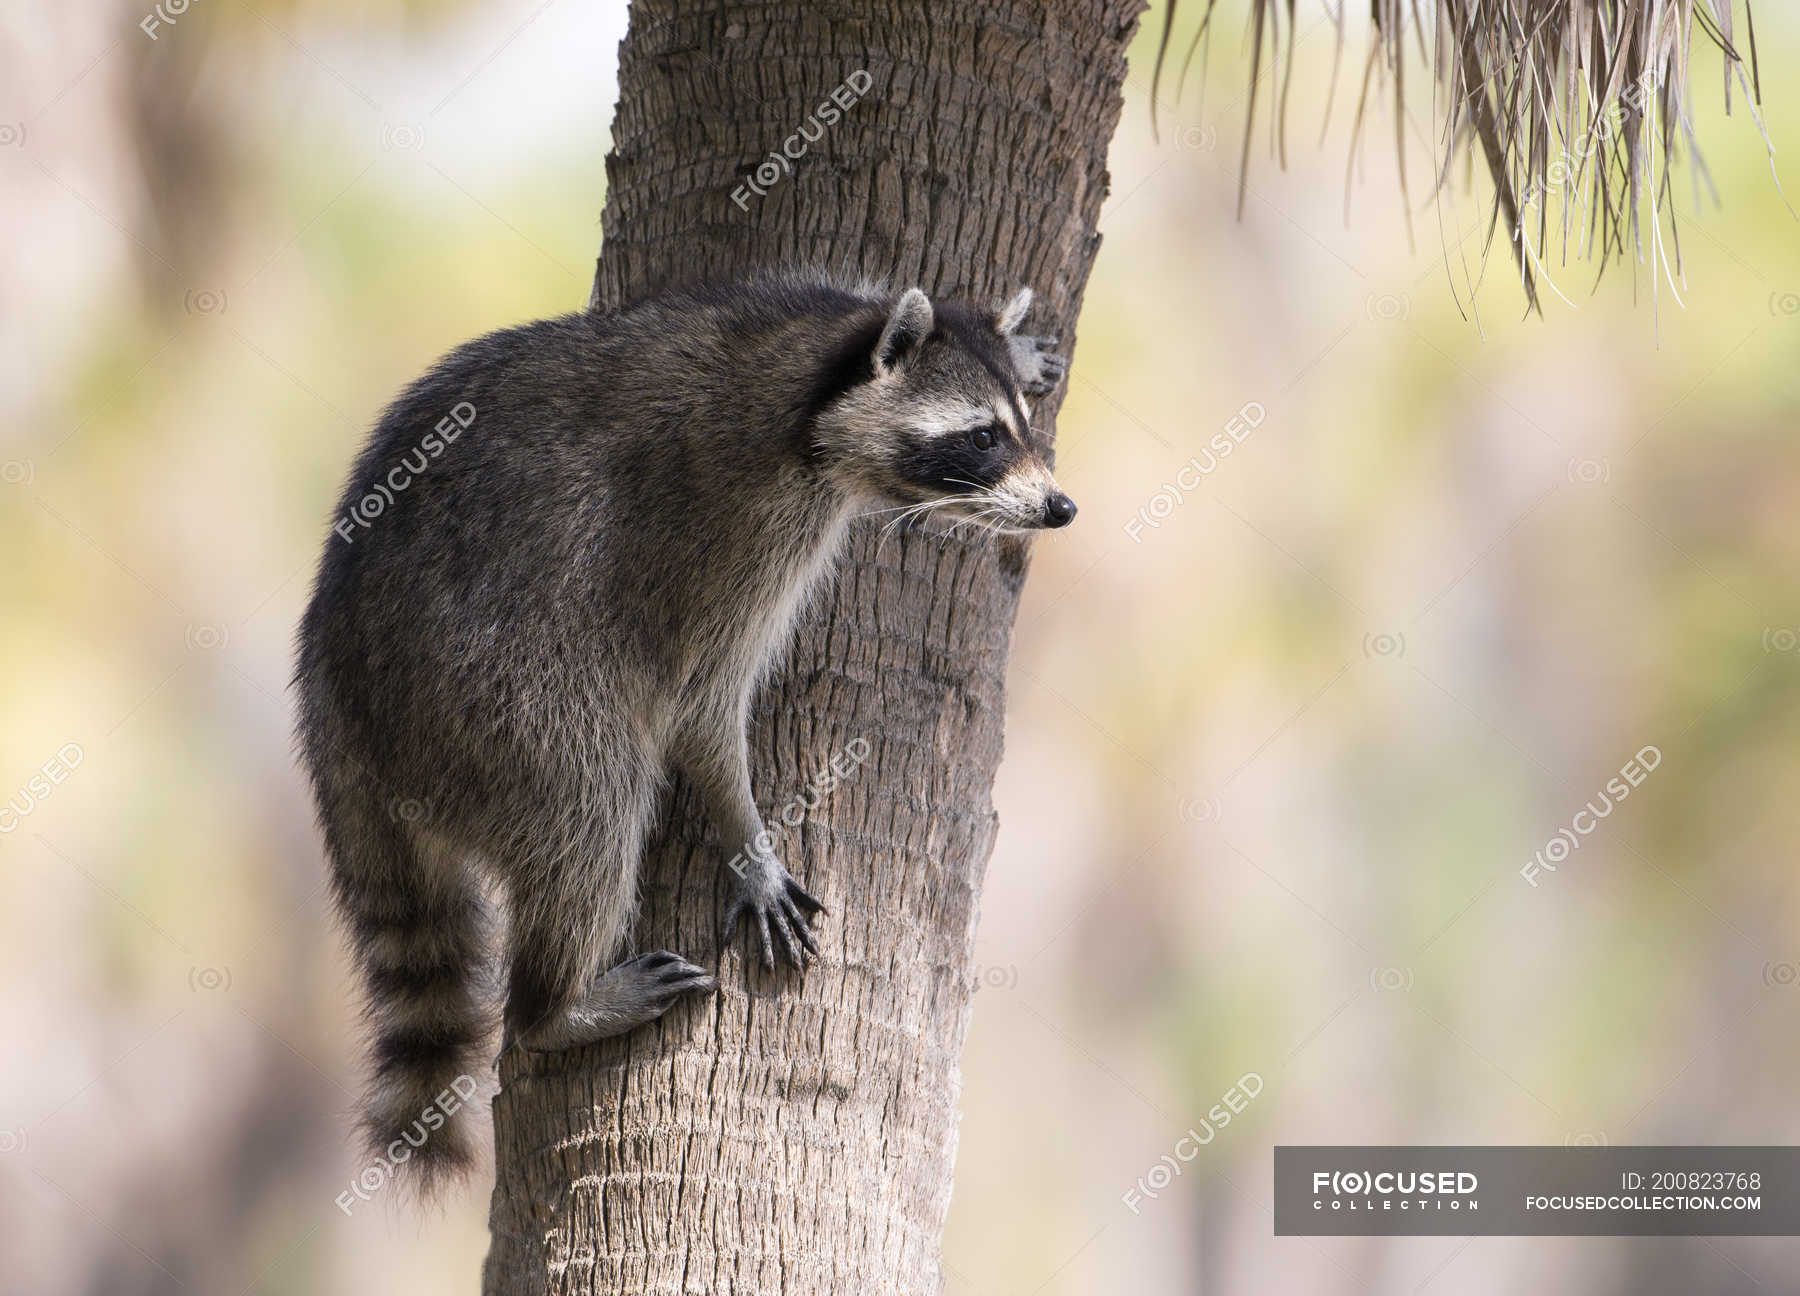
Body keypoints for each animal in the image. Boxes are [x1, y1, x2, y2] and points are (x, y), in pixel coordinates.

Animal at [295, 268, 1072, 1188]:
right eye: (982, 438)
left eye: (1016, 428)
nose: (1060, 507)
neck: (809, 378)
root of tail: (335, 697)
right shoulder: (726, 530)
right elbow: (698, 704)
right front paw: (748, 841)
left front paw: (1014, 340)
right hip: (496, 704)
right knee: (590, 810)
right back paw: (555, 1005)